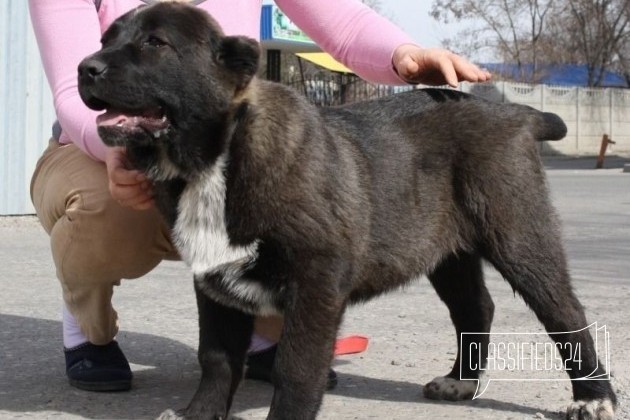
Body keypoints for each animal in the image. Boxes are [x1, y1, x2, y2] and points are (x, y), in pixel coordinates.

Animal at [76, 4, 620, 420]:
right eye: (105, 39)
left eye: (155, 43)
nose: (85, 67)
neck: (215, 157)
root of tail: (517, 112)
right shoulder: (216, 281)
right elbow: (216, 358)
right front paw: (200, 415)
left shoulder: (318, 279)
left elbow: (296, 369)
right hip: (443, 248)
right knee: (475, 307)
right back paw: (460, 381)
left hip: (518, 231)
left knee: (564, 312)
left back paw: (595, 398)